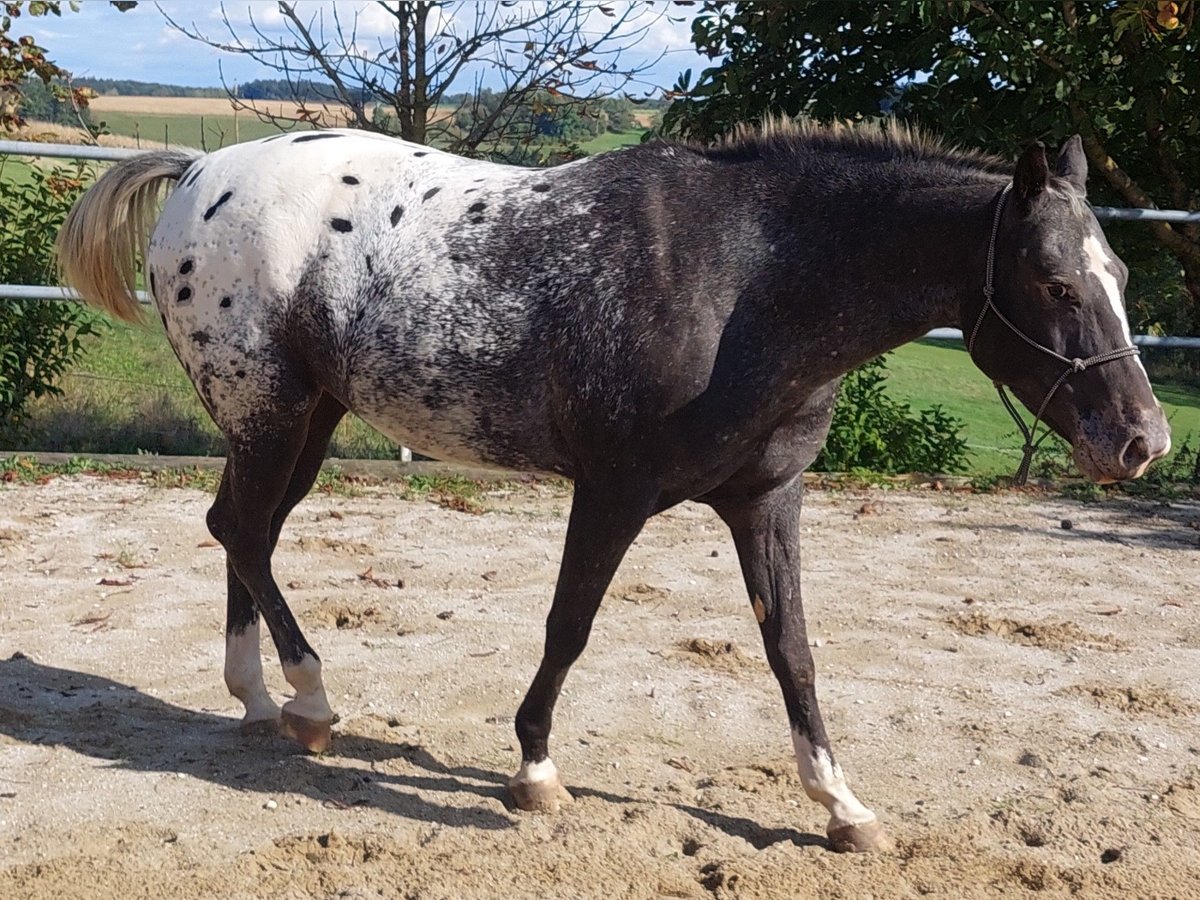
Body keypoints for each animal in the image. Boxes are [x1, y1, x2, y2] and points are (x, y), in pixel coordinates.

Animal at [58, 120, 1171, 854]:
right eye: (1055, 283)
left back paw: (262, 701)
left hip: (306, 421)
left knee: (245, 530)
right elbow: (570, 626)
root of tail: (202, 168)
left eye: (1119, 275)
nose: (1143, 442)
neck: (745, 283)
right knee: (242, 528)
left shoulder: (768, 501)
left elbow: (793, 650)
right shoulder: (613, 491)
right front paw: (535, 774)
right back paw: (313, 697)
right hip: (273, 412)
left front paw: (842, 807)